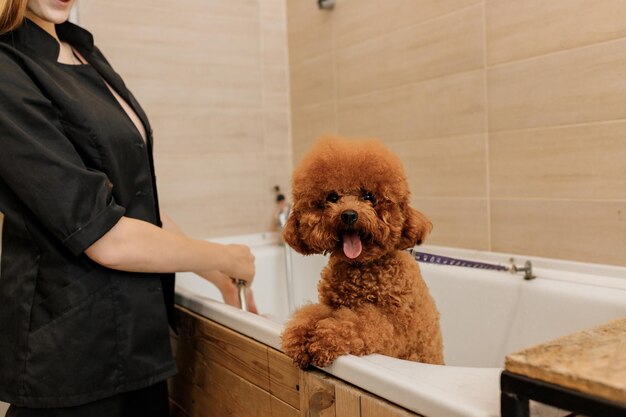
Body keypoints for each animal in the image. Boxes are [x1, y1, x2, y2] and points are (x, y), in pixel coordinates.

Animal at [278, 136, 444, 368]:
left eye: (368, 196)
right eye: (332, 197)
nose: (349, 215)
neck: (361, 270)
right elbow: (310, 313)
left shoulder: (394, 322)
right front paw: (300, 336)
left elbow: (358, 323)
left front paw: (323, 339)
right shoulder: (330, 305)